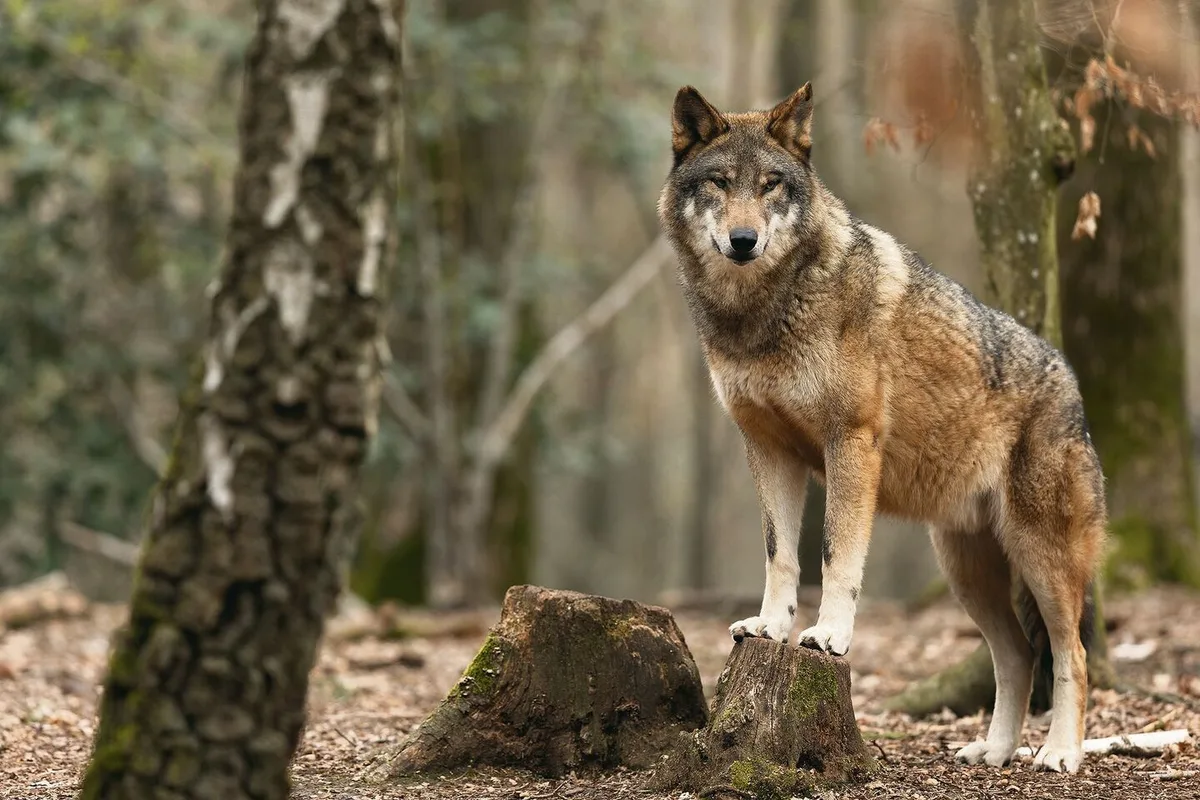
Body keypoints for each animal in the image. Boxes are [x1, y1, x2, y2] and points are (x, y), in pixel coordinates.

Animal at [657, 83, 1107, 774]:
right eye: (720, 182)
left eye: (770, 185)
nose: (743, 239)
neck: (762, 312)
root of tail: (1071, 380)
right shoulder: (768, 450)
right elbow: (781, 556)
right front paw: (769, 627)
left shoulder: (851, 442)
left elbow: (836, 554)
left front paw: (828, 636)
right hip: (965, 572)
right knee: (1017, 656)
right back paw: (994, 751)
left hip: (1041, 559)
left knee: (1071, 656)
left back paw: (1059, 754)